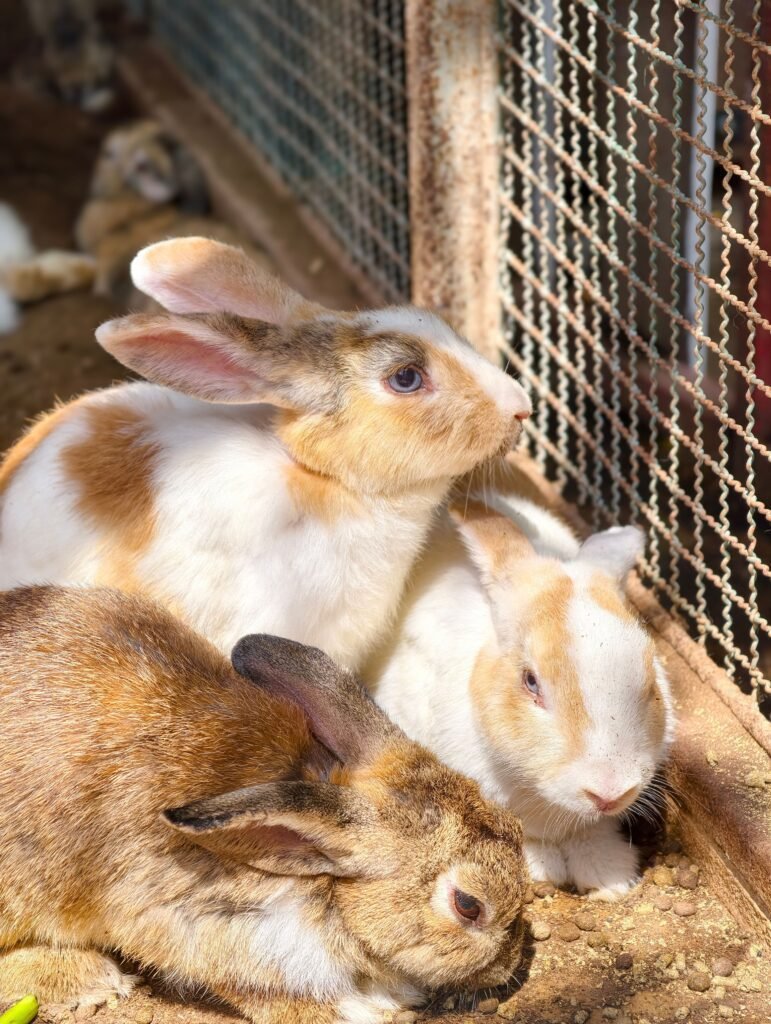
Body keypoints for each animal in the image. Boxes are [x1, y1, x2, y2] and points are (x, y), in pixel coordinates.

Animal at [0, 585, 528, 1023]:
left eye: (516, 828)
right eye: (468, 906)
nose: (510, 966)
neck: (321, 878)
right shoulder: (202, 927)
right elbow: (260, 990)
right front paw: (368, 1009)